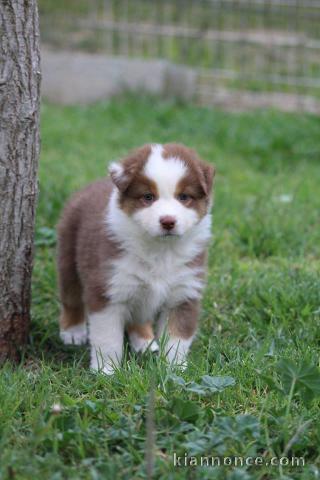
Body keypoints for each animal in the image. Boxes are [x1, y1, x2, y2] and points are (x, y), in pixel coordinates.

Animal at [57, 143, 215, 376]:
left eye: (184, 197)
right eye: (148, 197)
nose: (168, 221)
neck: (160, 250)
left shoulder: (183, 292)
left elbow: (177, 338)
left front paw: (174, 370)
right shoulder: (108, 289)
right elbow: (107, 338)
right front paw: (106, 371)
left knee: (139, 317)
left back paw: (145, 343)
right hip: (68, 253)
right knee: (71, 297)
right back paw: (73, 332)